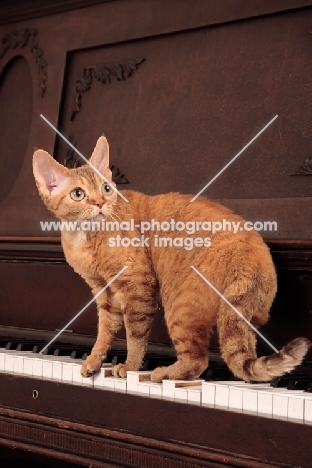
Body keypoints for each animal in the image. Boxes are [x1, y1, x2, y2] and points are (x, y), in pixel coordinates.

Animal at [31, 134, 310, 380]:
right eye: (78, 194)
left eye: (106, 188)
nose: (100, 203)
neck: (85, 239)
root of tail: (255, 257)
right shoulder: (103, 292)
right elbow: (104, 332)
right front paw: (93, 360)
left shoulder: (136, 288)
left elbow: (135, 337)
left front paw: (129, 367)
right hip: (241, 319)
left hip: (179, 306)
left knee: (198, 360)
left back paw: (162, 373)